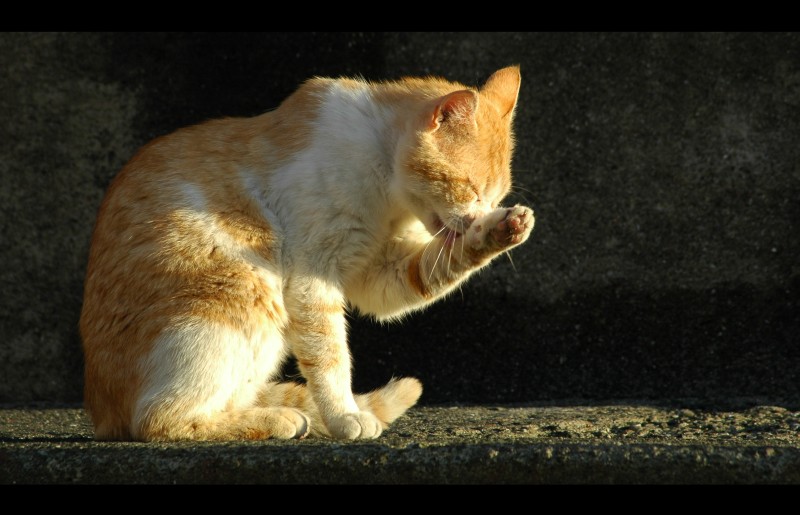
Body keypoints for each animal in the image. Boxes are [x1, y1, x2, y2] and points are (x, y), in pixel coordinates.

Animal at [79, 65, 532, 444]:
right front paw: (345, 416)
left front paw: (501, 230)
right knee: (160, 420)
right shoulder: (313, 275)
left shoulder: (380, 273)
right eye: (470, 188)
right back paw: (276, 419)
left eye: (495, 197)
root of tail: (101, 413)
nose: (476, 216)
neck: (386, 190)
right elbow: (329, 356)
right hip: (234, 301)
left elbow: (430, 270)